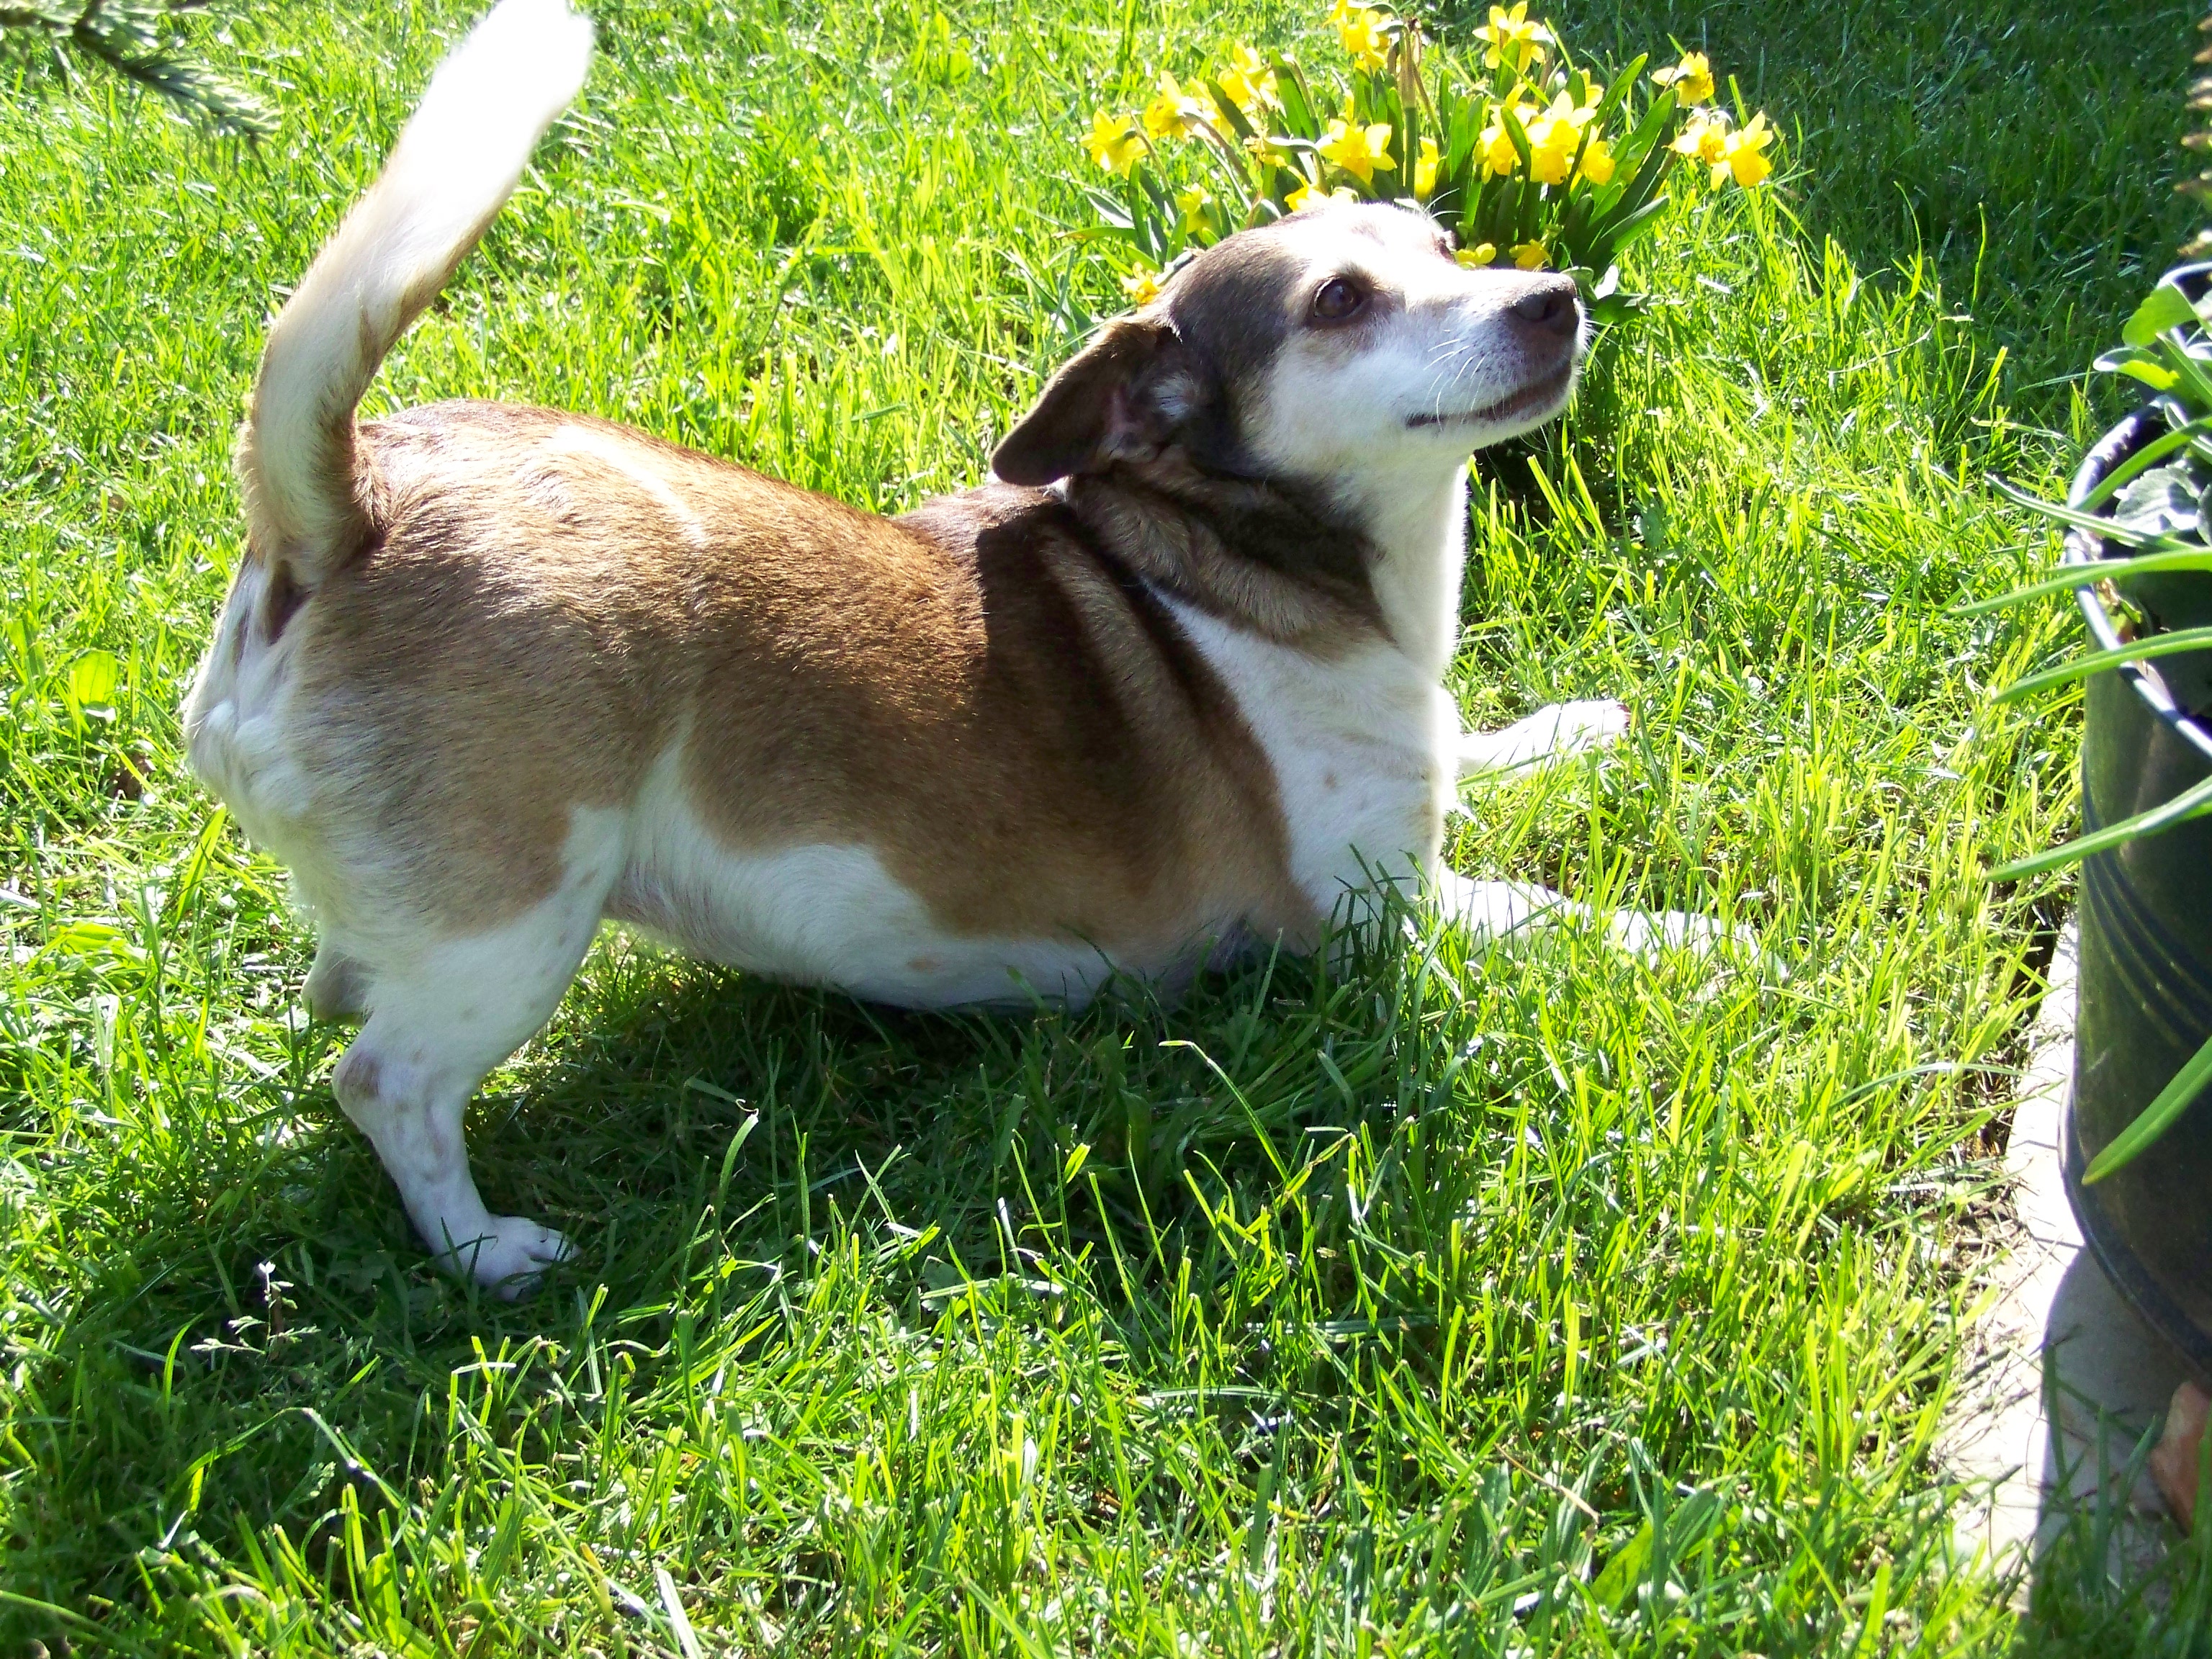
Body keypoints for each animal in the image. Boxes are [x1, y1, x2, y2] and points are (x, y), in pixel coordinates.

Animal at [184, 0, 1717, 1293]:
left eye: (1450, 249)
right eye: (1340, 301)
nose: (1554, 294)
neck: (1247, 559)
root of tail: (349, 509)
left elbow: (1477, 740)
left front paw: (1570, 727)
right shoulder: (1374, 913)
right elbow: (1573, 917)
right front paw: (1708, 939)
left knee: (341, 985)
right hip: (517, 923)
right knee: (386, 1081)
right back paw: (485, 1247)